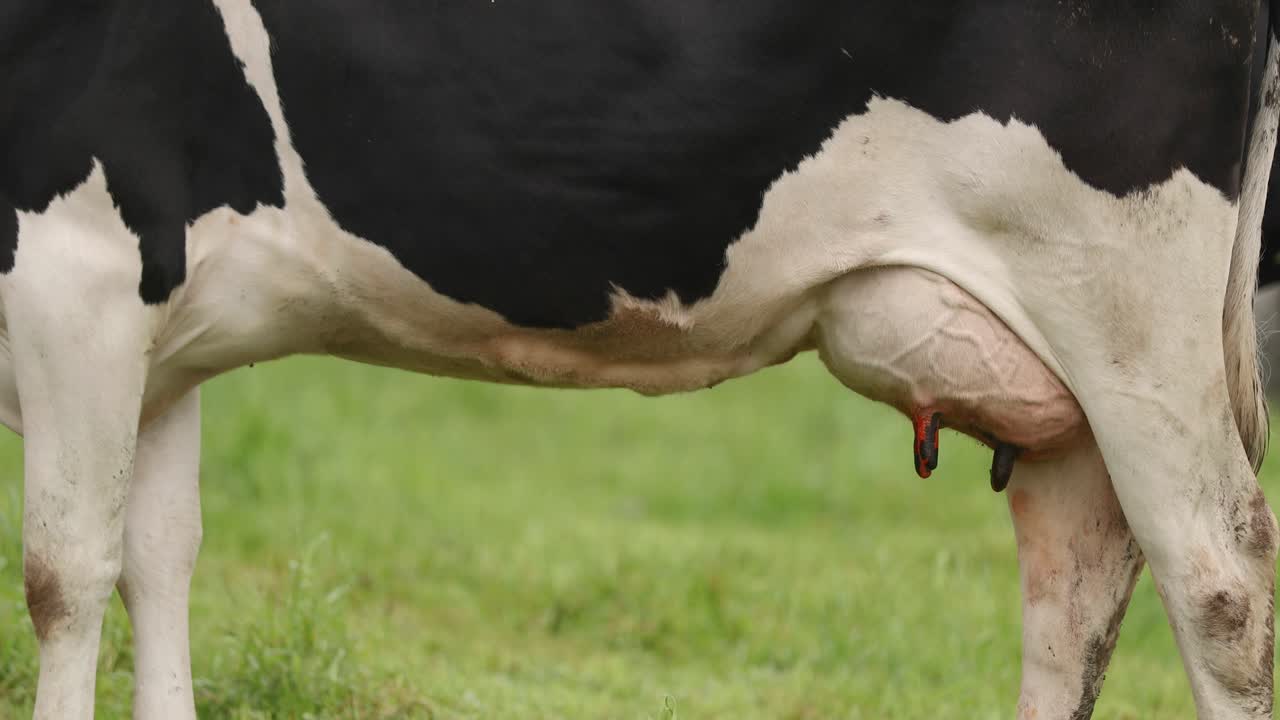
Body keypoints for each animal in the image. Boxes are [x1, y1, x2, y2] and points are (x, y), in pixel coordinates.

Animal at [1, 2, 1277, 718]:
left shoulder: (73, 260)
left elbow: (64, 576)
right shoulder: (159, 326)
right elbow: (155, 563)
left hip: (1124, 297)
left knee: (1217, 583)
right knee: (1076, 595)